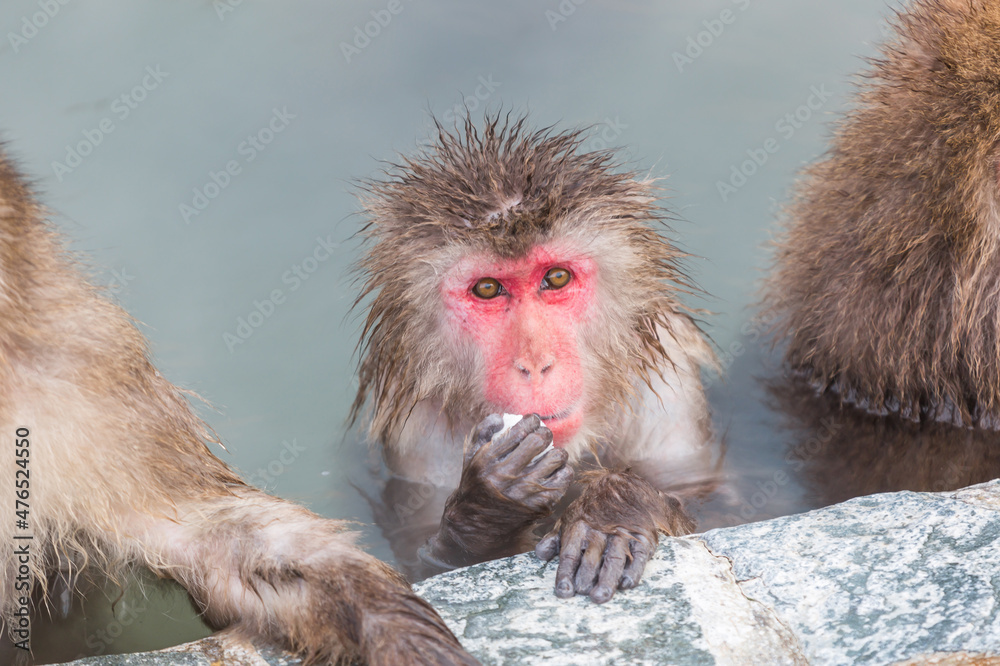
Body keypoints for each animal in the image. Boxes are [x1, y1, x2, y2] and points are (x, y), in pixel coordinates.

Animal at [352, 114, 718, 604]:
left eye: (556, 278)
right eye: (488, 288)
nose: (535, 362)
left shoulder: (669, 391)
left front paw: (614, 514)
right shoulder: (417, 437)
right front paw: (492, 502)